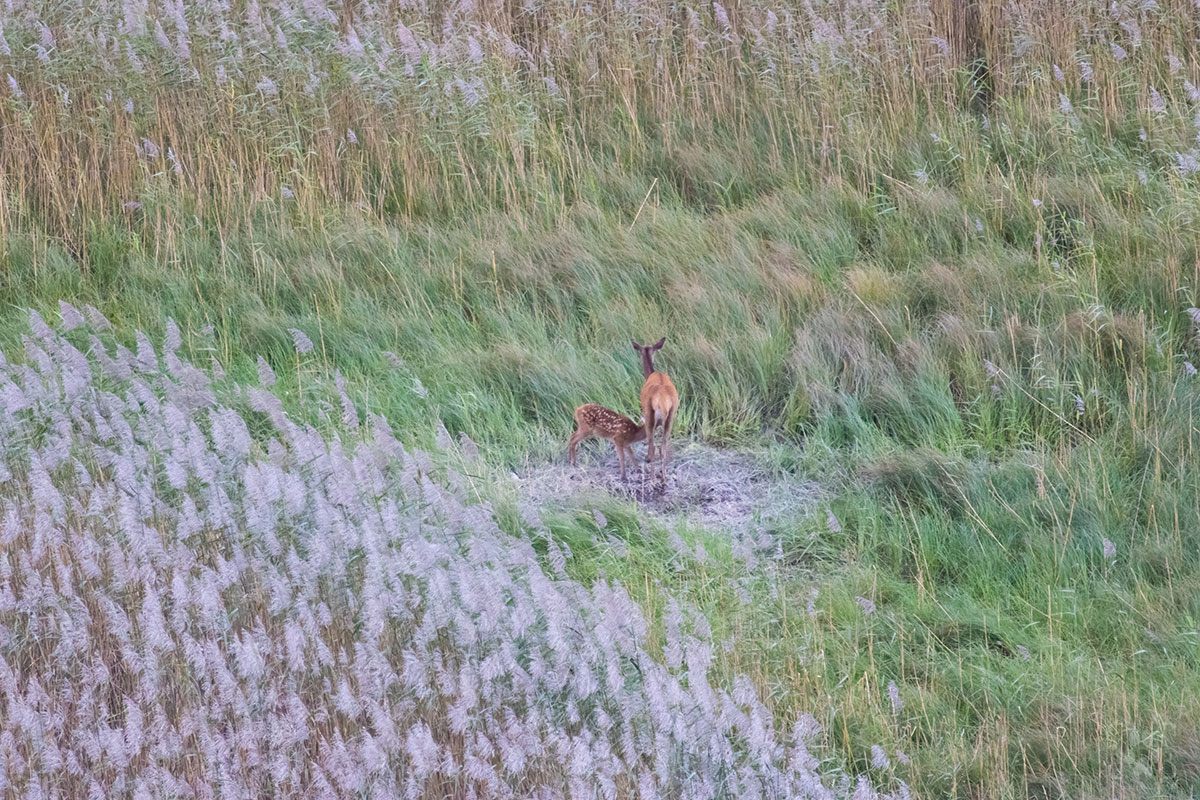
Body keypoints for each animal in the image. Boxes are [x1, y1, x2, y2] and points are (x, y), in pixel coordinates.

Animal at [632, 337, 679, 481]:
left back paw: (652, 477)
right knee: (662, 447)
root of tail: (662, 401)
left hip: (649, 412)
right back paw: (663, 478)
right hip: (671, 415)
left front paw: (646, 458)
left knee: (653, 446)